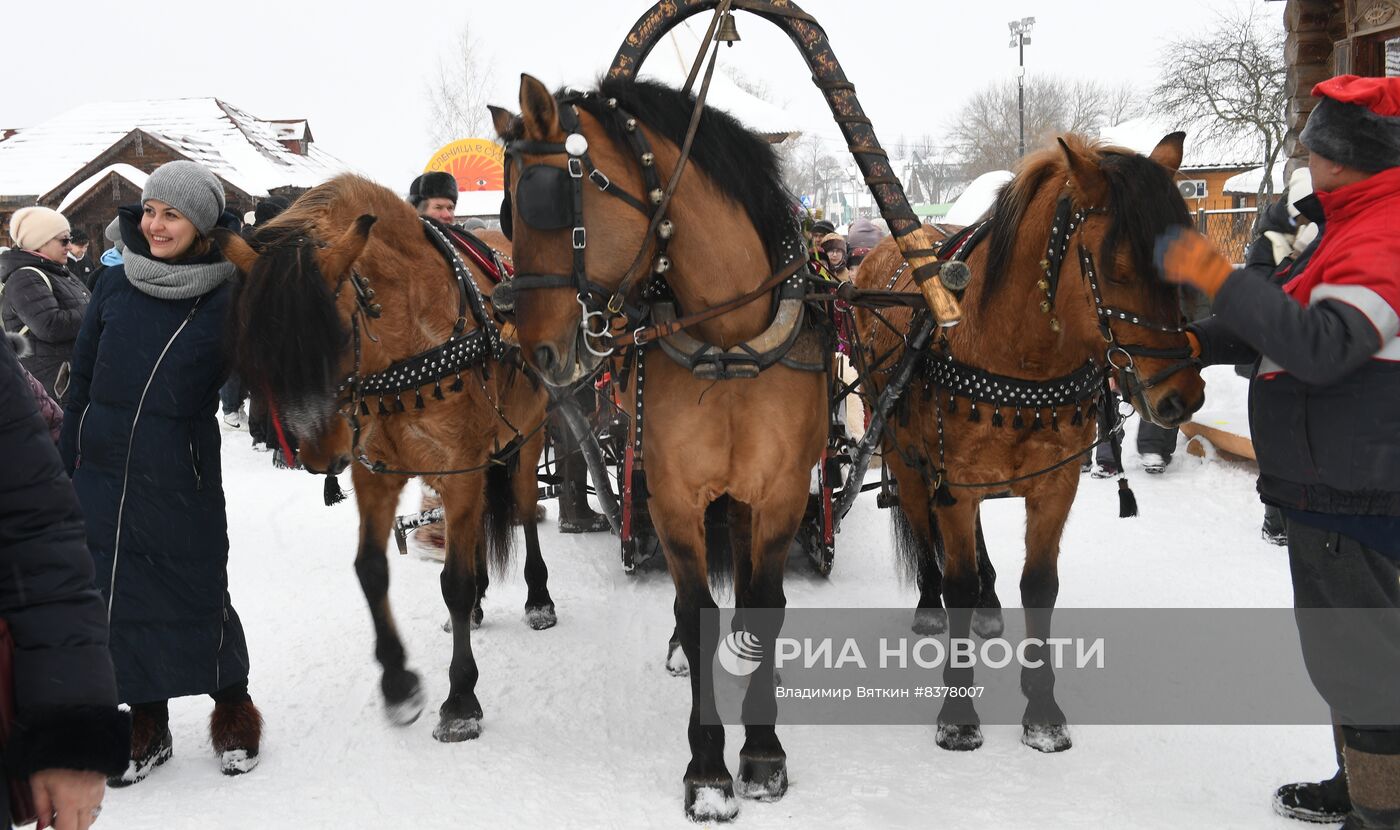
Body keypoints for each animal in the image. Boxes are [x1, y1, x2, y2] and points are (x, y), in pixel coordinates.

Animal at [218, 174, 551, 744]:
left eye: (336, 338)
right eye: (259, 350)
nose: (315, 454)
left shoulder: (456, 468)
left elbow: (453, 582)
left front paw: (460, 700)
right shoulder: (376, 472)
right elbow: (371, 569)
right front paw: (398, 682)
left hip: (528, 437)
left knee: (526, 509)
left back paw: (537, 598)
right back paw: (480, 603)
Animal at [492, 75, 823, 817]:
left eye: (542, 202)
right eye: (504, 214)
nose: (538, 357)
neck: (729, 339)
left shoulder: (783, 492)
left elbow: (763, 604)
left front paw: (764, 752)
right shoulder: (672, 496)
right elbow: (695, 611)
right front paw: (708, 772)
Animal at [856, 134, 1209, 750]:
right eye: (1117, 270)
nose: (1180, 397)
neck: (1018, 357)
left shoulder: (1055, 484)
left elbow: (1040, 586)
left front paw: (1042, 709)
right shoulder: (954, 480)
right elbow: (958, 582)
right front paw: (958, 712)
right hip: (905, 456)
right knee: (924, 529)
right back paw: (928, 601)